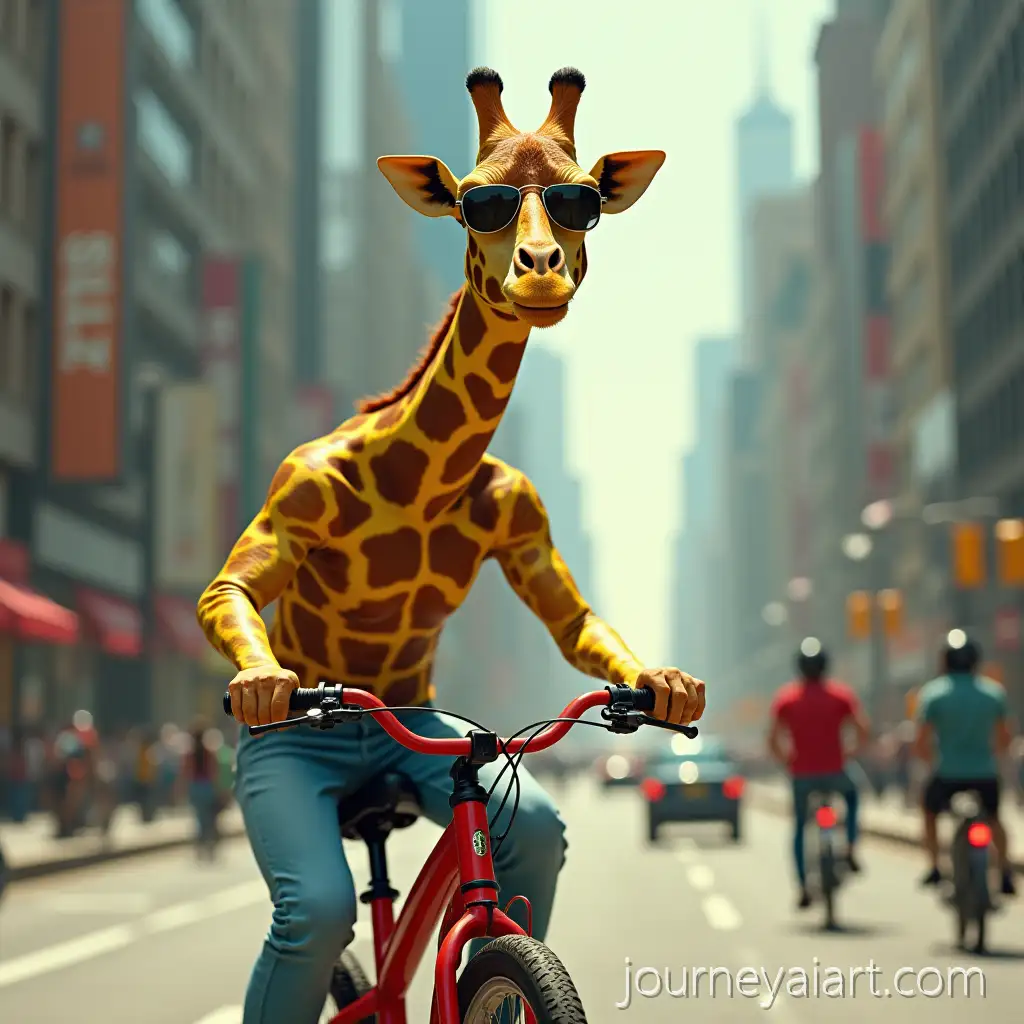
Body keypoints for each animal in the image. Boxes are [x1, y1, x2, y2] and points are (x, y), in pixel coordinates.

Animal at [197, 67, 668, 711]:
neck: (420, 487)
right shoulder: (297, 492)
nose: (540, 274)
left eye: (582, 198)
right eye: (476, 204)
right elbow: (226, 589)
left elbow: (575, 621)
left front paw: (666, 686)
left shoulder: (524, 514)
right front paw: (262, 687)